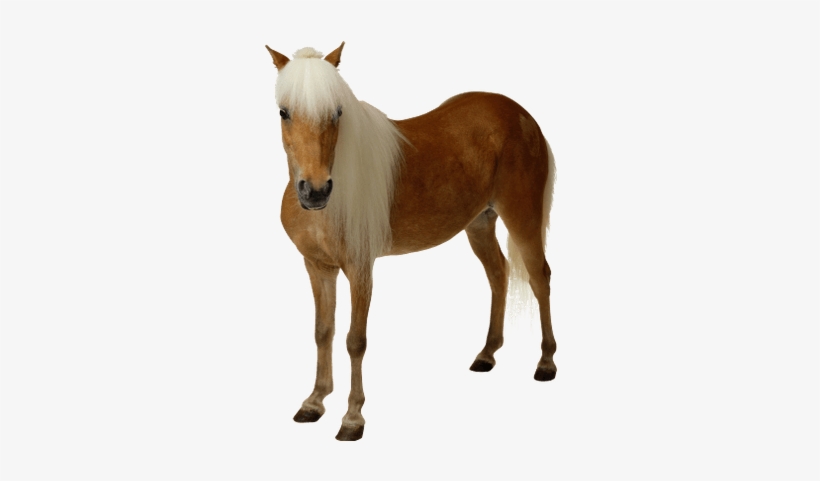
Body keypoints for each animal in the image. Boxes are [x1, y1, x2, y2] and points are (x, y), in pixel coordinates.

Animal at [265, 43, 557, 441]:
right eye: (284, 112)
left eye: (337, 112)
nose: (315, 191)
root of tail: (522, 115)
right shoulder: (318, 267)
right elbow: (323, 332)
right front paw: (314, 402)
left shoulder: (360, 269)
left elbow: (355, 340)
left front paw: (352, 418)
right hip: (479, 223)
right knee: (499, 273)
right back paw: (486, 355)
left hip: (522, 218)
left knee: (539, 277)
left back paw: (546, 362)